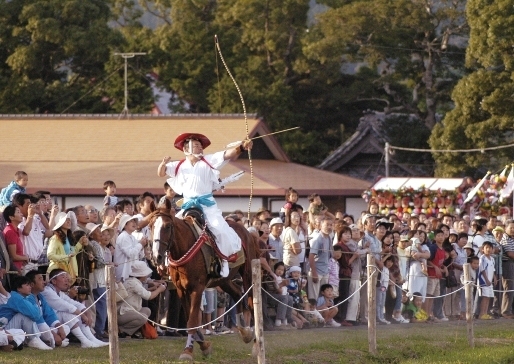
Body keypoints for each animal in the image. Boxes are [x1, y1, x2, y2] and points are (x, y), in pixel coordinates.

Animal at [148, 206, 260, 362]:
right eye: (151, 226)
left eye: (168, 226)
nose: (156, 256)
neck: (184, 248)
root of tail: (247, 231)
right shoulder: (181, 289)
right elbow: (191, 320)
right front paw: (203, 346)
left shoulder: (197, 288)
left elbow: (192, 321)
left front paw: (188, 351)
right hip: (223, 279)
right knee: (237, 292)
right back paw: (244, 332)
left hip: (248, 273)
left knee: (251, 302)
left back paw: (256, 344)